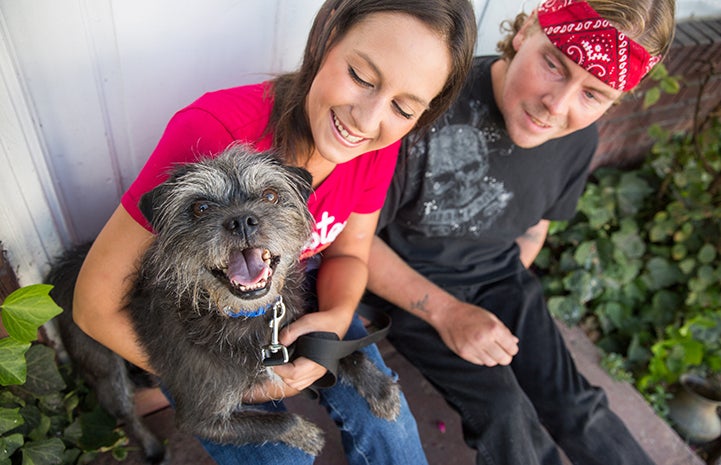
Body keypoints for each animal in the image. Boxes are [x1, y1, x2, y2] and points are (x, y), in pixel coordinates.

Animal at [48, 146, 402, 460]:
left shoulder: (300, 334)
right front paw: (305, 433)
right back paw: (151, 447)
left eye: (270, 196)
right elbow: (278, 420)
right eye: (200, 208)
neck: (243, 316)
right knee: (127, 415)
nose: (242, 220)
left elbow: (342, 349)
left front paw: (380, 387)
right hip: (107, 374)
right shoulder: (201, 419)